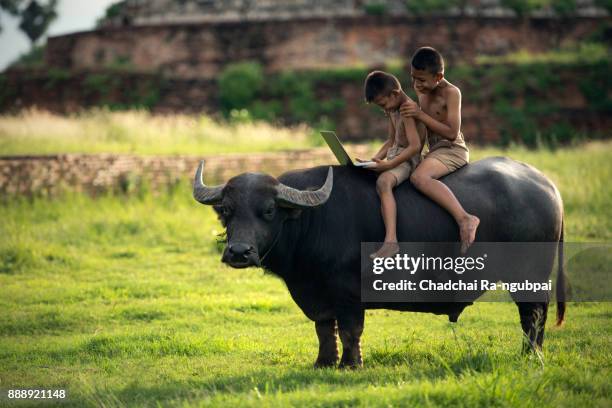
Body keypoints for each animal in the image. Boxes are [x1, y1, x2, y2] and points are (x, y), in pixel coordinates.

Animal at [192, 158, 564, 368]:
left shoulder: (349, 294)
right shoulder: (315, 294)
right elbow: (324, 328)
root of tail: (547, 186)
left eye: (269, 210)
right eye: (226, 210)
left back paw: (530, 355)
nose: (239, 252)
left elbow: (351, 330)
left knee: (533, 315)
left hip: (528, 276)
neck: (313, 219)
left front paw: (351, 364)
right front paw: (324, 363)